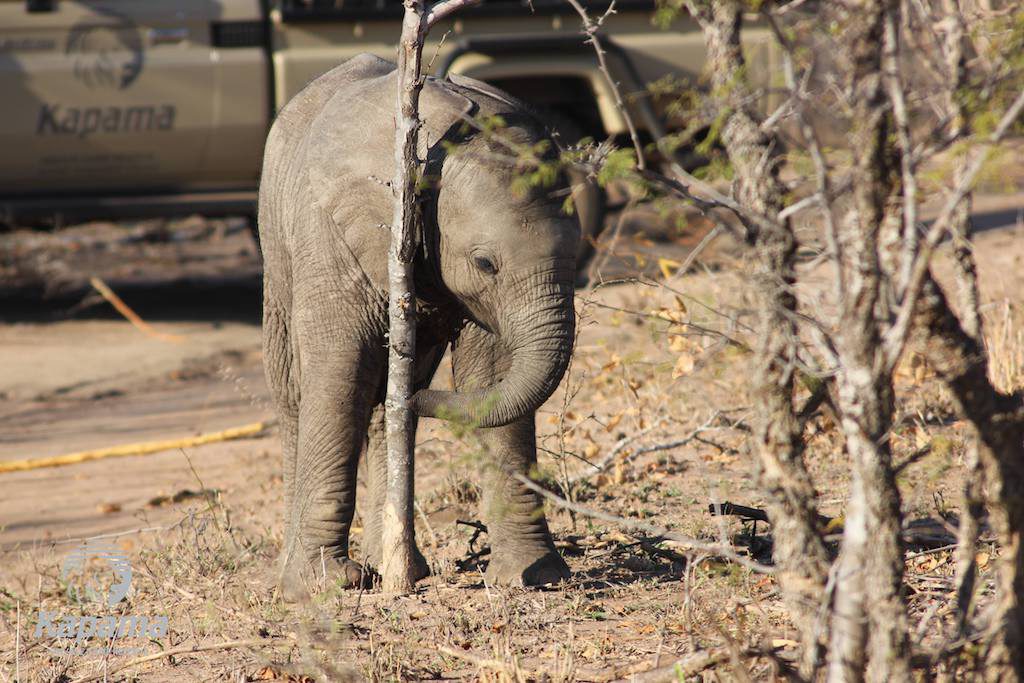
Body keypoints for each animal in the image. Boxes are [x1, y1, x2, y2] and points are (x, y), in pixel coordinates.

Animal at [258, 53, 579, 599]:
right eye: (485, 263)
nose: (414, 400)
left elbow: (493, 373)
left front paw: (534, 577)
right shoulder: (331, 239)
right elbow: (339, 374)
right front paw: (326, 586)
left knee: (385, 400)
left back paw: (397, 566)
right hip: (276, 249)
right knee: (294, 394)